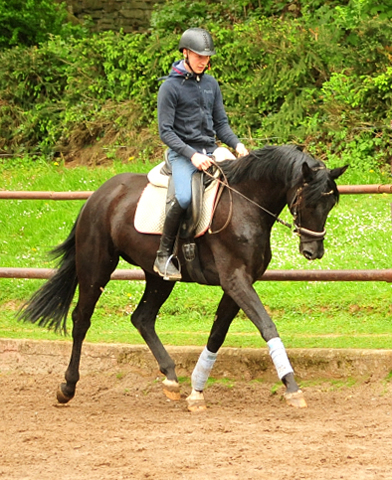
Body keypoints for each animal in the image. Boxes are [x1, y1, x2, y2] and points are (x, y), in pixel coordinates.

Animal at [19, 145, 346, 408]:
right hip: (97, 266)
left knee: (142, 318)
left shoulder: (237, 284)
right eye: (308, 202)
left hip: (158, 277)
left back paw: (171, 379)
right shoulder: (235, 280)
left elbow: (217, 335)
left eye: (329, 204)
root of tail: (99, 194)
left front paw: (196, 392)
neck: (246, 204)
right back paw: (67, 387)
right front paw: (292, 386)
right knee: (81, 319)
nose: (313, 251)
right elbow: (267, 326)